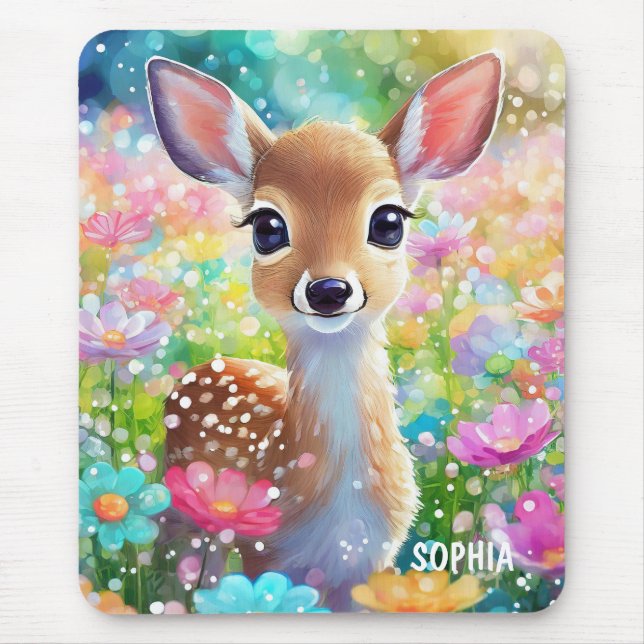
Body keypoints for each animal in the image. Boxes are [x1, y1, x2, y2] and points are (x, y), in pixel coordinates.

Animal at [146, 50, 503, 610]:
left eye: (389, 222)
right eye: (267, 228)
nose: (329, 290)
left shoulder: (370, 564)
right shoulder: (265, 551)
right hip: (182, 508)